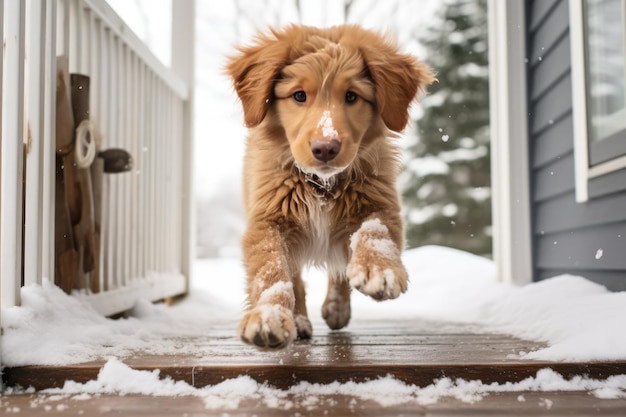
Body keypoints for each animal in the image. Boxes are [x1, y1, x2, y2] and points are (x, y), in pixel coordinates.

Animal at [225, 24, 434, 346]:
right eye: (299, 96)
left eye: (351, 96)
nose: (325, 148)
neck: (322, 185)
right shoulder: (268, 218)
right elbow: (271, 269)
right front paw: (269, 314)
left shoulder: (380, 199)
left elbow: (375, 231)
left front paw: (379, 268)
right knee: (297, 277)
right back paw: (299, 320)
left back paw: (337, 307)